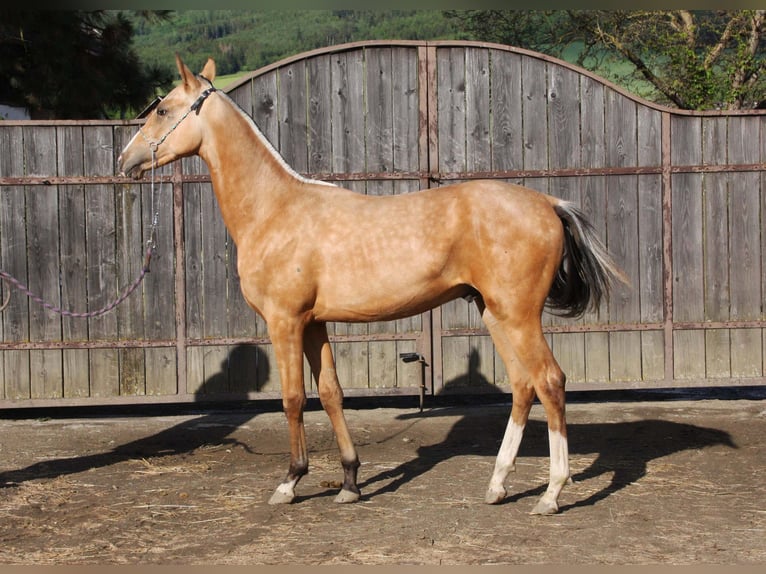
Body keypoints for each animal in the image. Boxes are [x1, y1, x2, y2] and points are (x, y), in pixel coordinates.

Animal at [117, 55, 628, 516]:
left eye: (162, 110)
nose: (125, 161)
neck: (275, 208)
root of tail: (548, 203)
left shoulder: (285, 322)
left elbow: (292, 399)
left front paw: (290, 482)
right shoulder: (314, 324)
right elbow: (331, 394)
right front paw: (349, 482)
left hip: (519, 315)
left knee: (550, 382)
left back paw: (551, 494)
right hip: (495, 313)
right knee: (524, 386)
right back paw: (498, 485)